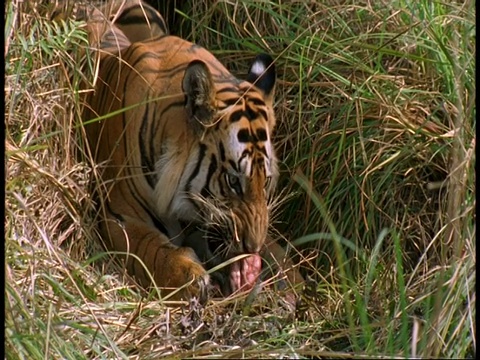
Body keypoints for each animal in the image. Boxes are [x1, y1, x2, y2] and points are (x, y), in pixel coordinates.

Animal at [57, 0, 304, 302]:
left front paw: (290, 277)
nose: (251, 248)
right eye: (233, 181)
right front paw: (190, 276)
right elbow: (150, 248)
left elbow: (276, 248)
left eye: (266, 180)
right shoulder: (119, 215)